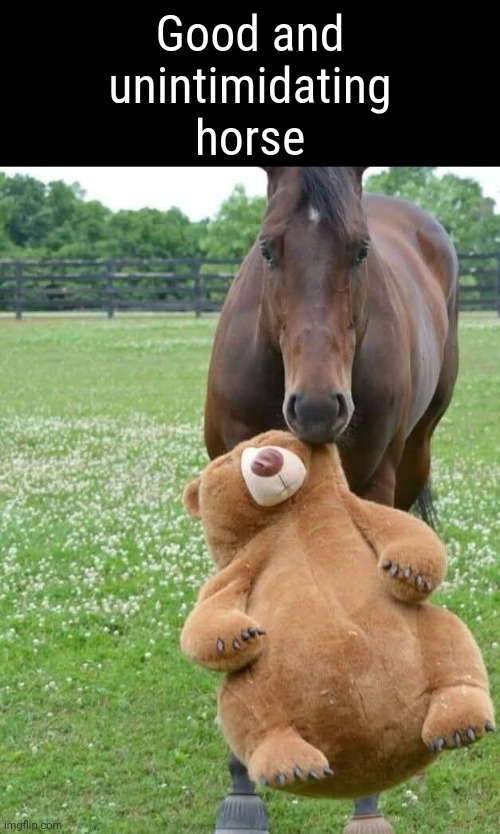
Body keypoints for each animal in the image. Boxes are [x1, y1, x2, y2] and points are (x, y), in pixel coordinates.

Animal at [203, 166, 460, 832]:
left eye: (361, 250)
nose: (318, 407)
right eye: (268, 248)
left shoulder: (373, 480)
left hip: (416, 450)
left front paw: (367, 799)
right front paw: (242, 786)